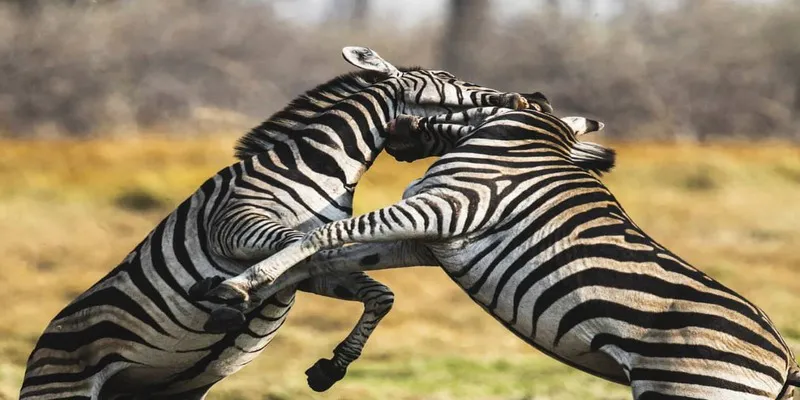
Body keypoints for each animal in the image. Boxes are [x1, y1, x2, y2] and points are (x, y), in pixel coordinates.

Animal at [20, 46, 542, 399]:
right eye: (448, 78)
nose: (534, 96)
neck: (323, 164)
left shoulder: (312, 272)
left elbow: (377, 292)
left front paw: (330, 367)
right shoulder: (237, 225)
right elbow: (296, 241)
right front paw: (230, 299)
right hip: (63, 386)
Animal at [201, 109, 800, 399]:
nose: (393, 128)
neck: (528, 136)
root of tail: (783, 359)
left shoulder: (444, 208)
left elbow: (322, 237)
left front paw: (239, 285)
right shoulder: (427, 238)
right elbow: (326, 259)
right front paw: (232, 298)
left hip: (691, 388)